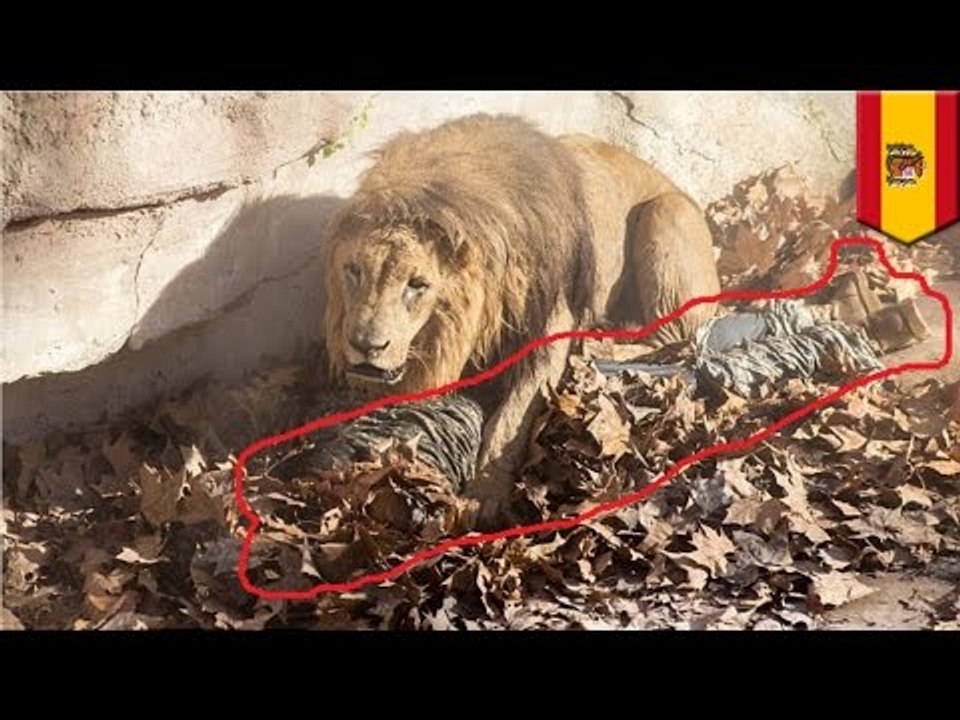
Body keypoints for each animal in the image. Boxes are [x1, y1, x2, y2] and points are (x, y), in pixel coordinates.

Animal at [323, 113, 720, 526]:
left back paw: (596, 343)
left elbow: (511, 417)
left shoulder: (549, 326)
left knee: (676, 338)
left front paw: (484, 494)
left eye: (417, 284)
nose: (365, 346)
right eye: (353, 272)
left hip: (667, 212)